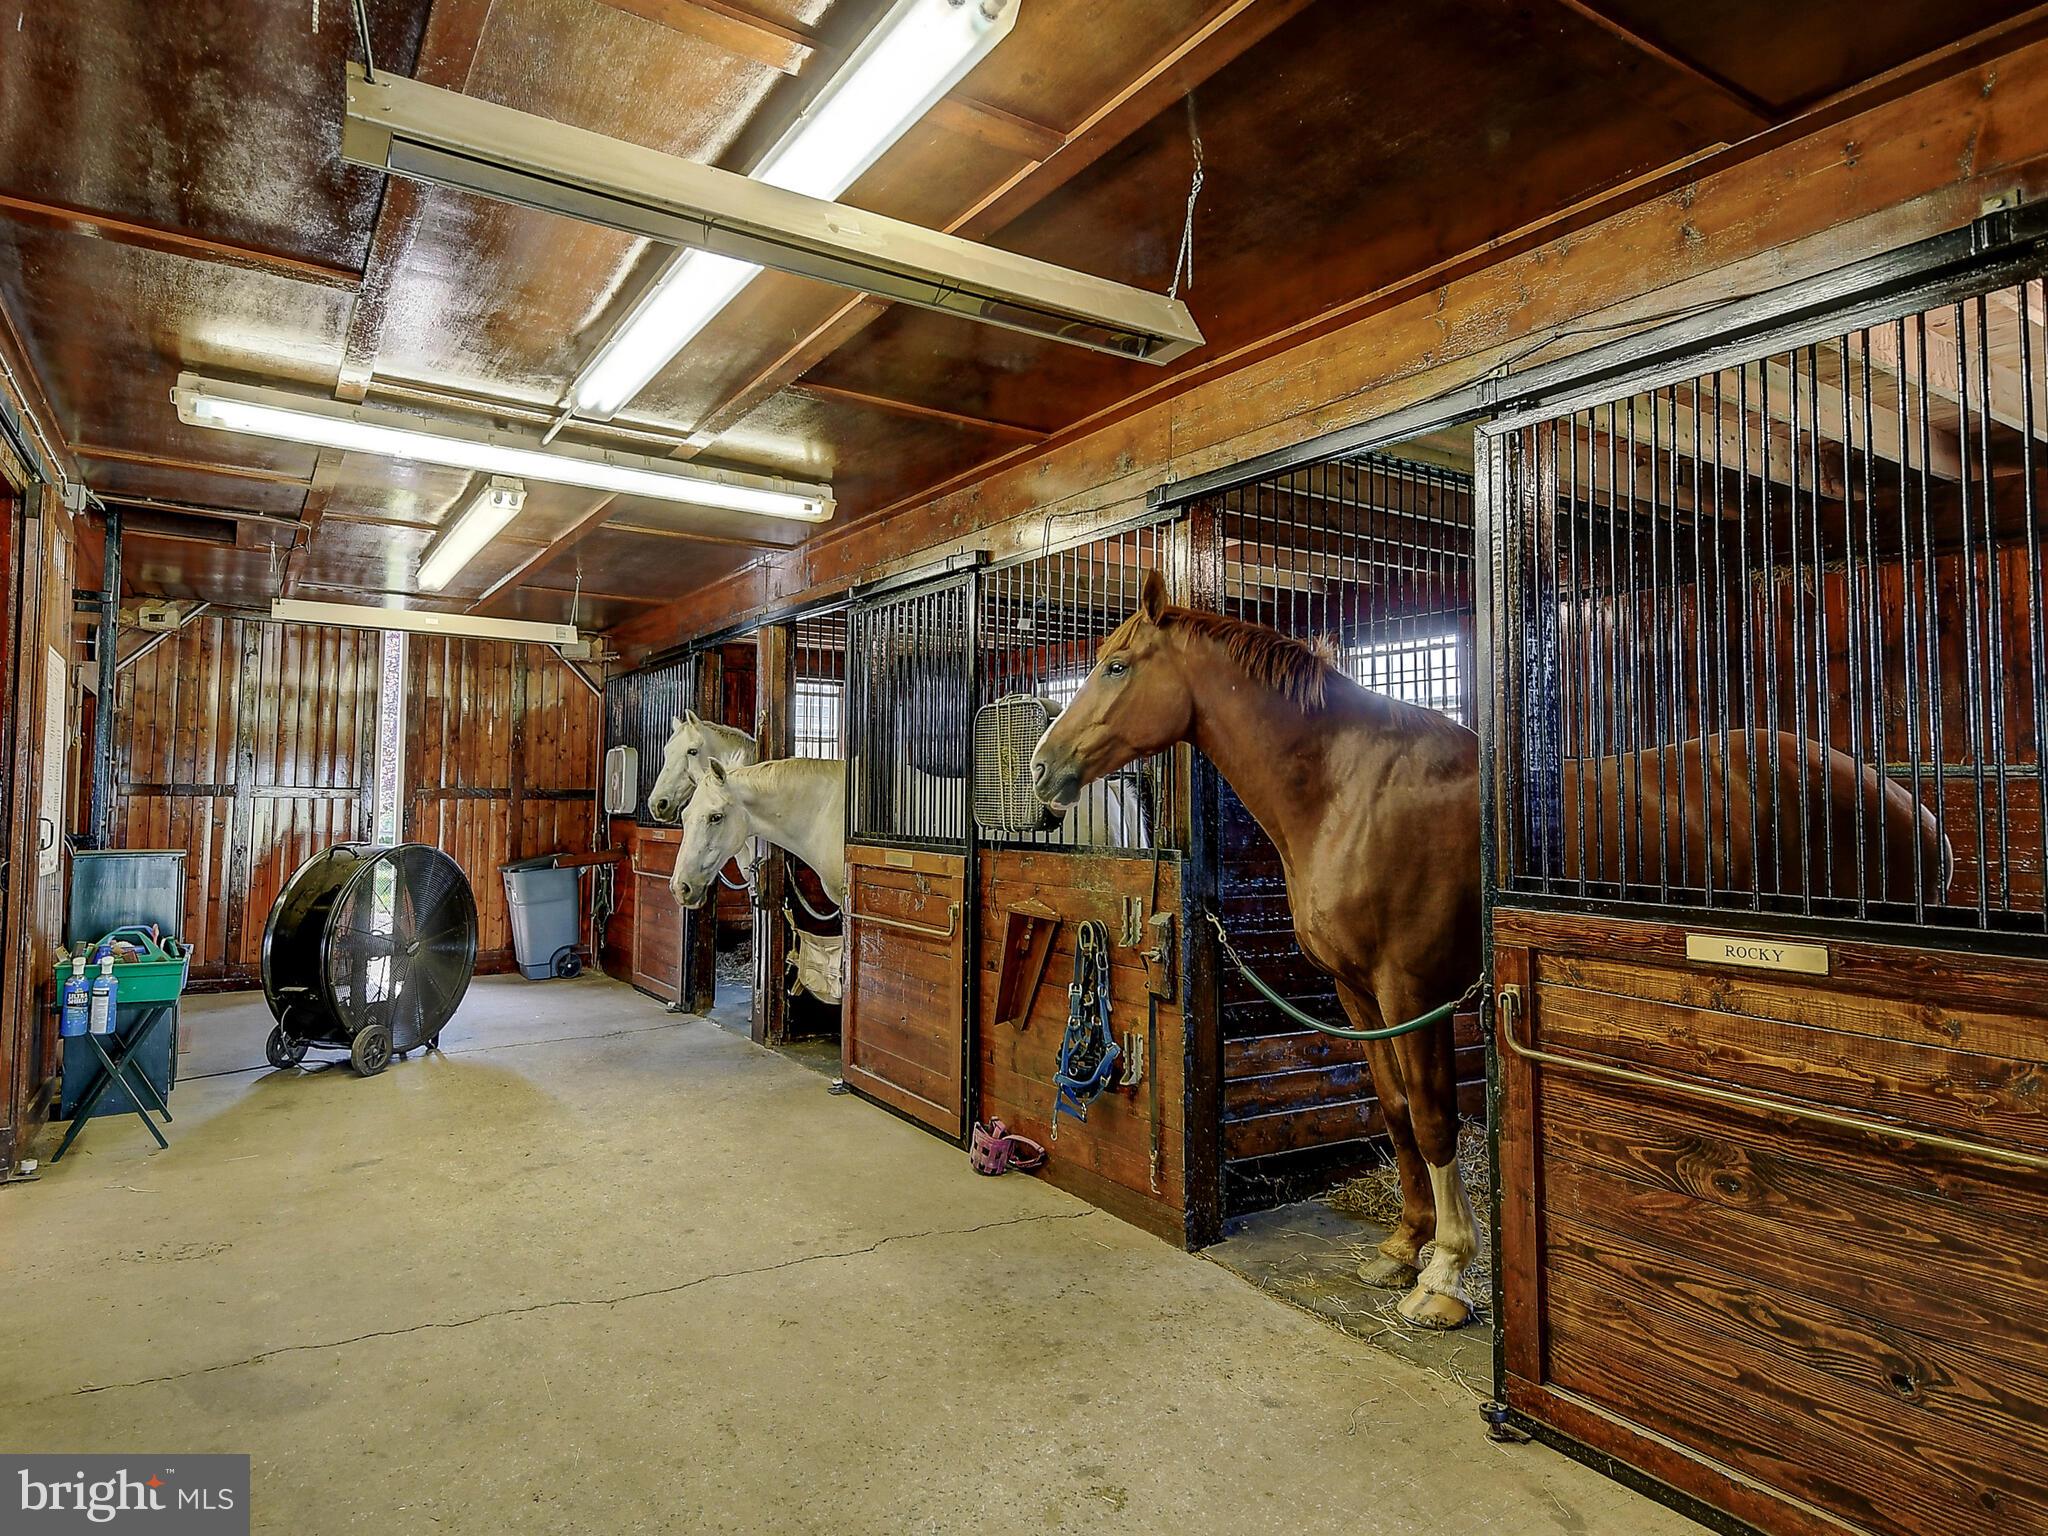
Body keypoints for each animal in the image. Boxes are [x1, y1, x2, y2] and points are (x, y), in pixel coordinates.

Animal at [1029, 570, 1948, 1329]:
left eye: (1117, 666)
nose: (1042, 772)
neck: (1348, 790)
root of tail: (1908, 803)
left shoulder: (1413, 989)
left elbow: (1437, 1116)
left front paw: (1445, 1276)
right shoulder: (1359, 993)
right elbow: (1395, 1110)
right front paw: (1402, 1247)